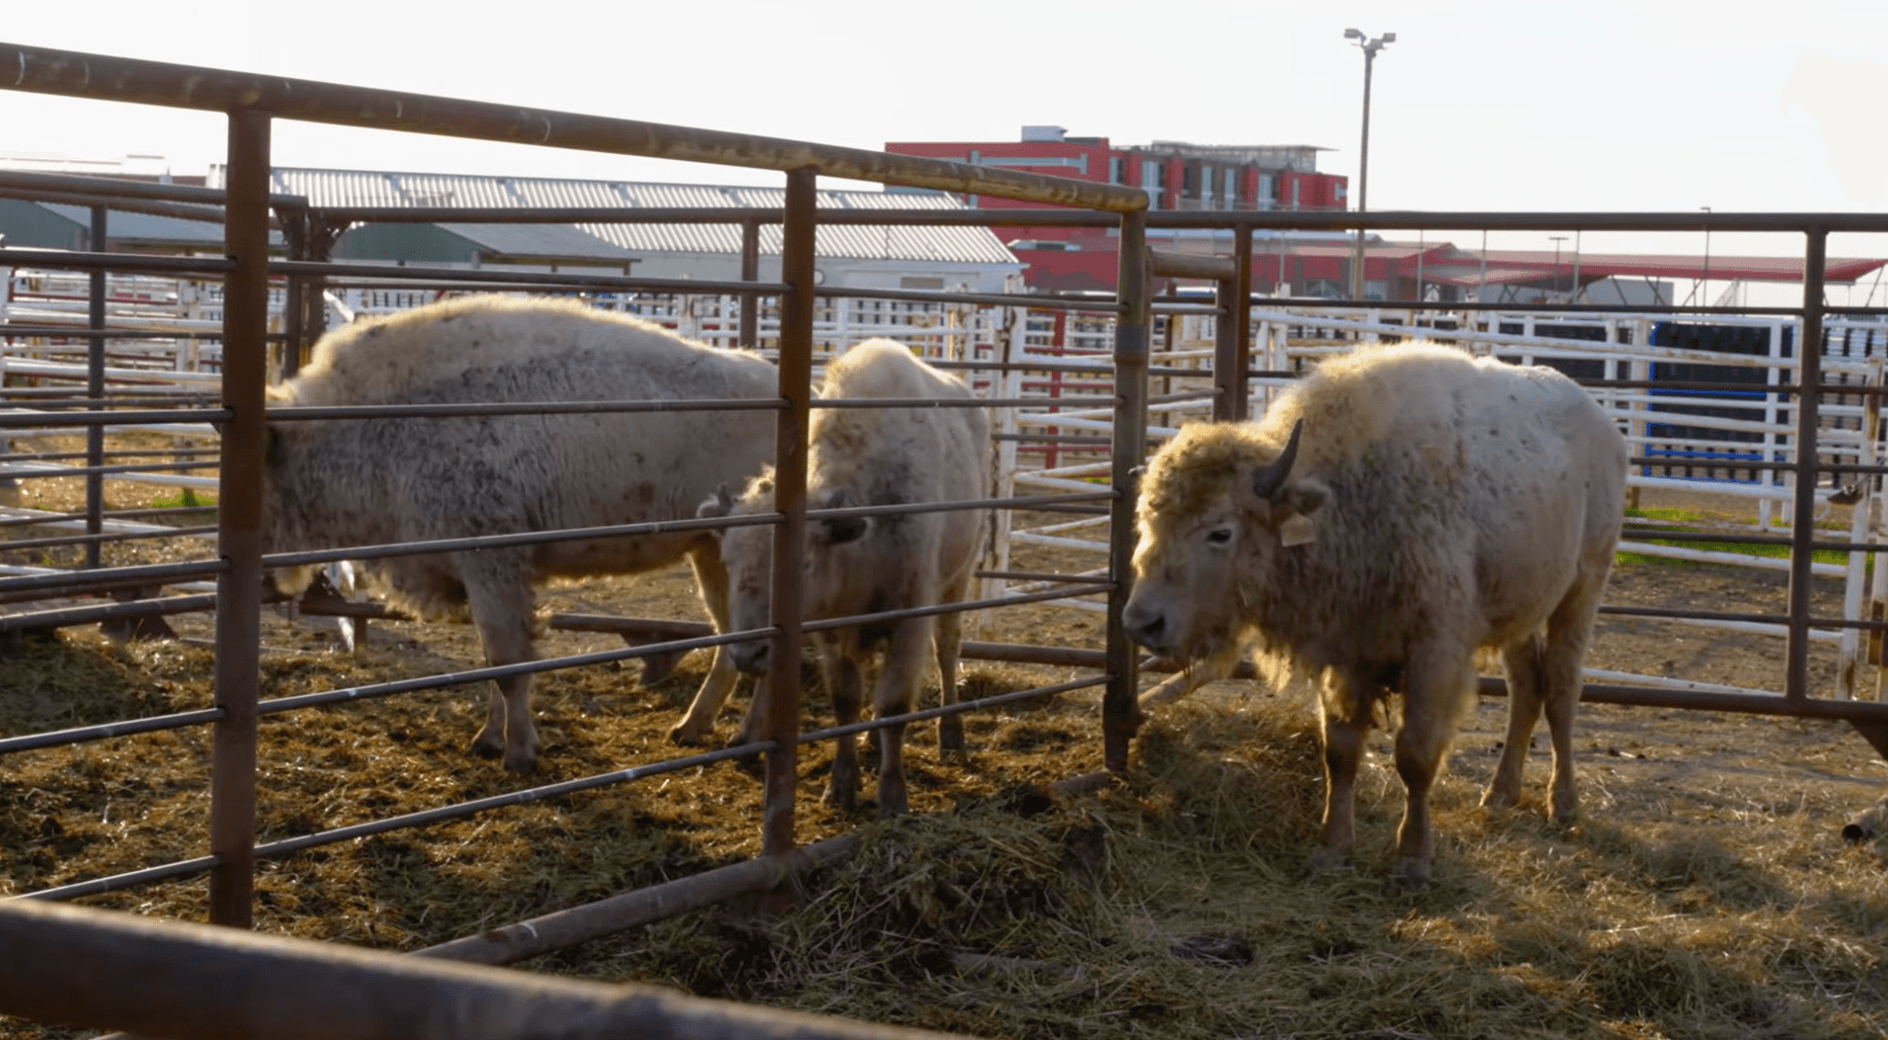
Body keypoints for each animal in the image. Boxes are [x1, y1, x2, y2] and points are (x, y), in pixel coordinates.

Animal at [262, 295, 778, 773]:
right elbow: (494, 661)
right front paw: (489, 740)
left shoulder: (493, 568)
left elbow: (508, 664)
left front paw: (520, 754)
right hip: (710, 552)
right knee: (732, 639)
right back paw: (692, 728)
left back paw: (746, 739)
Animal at [697, 338, 991, 815]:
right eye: (729, 560)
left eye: (802, 564)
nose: (747, 655)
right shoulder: (831, 633)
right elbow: (847, 700)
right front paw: (841, 783)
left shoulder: (910, 618)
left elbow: (893, 703)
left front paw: (892, 793)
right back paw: (873, 744)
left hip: (957, 581)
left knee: (948, 652)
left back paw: (951, 735)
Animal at [1122, 343, 1627, 887]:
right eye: (1148, 520)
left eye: (1220, 531)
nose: (1142, 622)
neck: (1348, 497)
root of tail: (1601, 422)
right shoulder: (1345, 654)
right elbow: (1340, 752)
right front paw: (1331, 849)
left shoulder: (1432, 653)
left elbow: (1416, 755)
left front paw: (1413, 862)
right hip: (1521, 612)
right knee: (1526, 689)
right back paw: (1499, 794)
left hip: (1582, 589)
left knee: (1560, 689)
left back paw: (1564, 805)